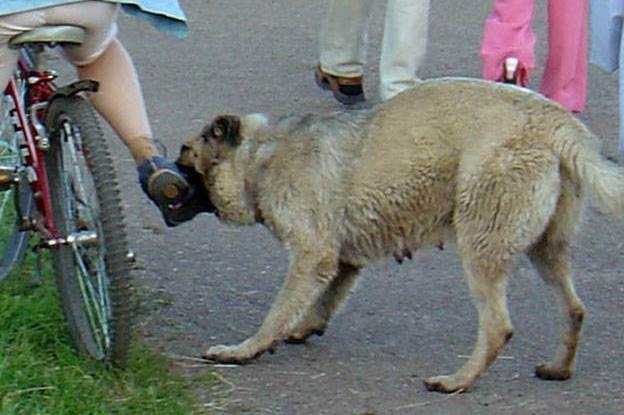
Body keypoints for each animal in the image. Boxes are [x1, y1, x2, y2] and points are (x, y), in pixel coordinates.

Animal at [174, 78, 624, 394]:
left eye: (185, 153)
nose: (163, 174)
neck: (262, 154)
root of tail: (556, 121)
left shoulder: (312, 255)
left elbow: (276, 313)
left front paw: (245, 349)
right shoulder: (341, 261)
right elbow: (320, 302)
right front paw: (302, 327)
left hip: (481, 248)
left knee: (498, 327)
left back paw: (458, 381)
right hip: (547, 251)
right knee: (574, 309)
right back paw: (559, 367)